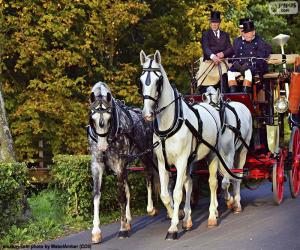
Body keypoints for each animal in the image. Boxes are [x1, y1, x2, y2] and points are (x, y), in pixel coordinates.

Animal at [88, 82, 158, 244]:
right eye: (92, 119)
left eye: (109, 119)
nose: (102, 147)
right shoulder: (97, 166)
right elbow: (97, 195)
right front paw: (96, 232)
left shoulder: (118, 166)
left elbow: (120, 196)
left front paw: (122, 229)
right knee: (129, 190)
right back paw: (128, 220)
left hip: (146, 155)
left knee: (150, 176)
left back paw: (151, 208)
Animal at [139, 49, 221, 239]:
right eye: (141, 80)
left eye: (158, 81)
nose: (147, 114)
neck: (170, 124)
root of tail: (210, 106)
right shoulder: (163, 163)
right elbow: (165, 195)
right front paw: (177, 216)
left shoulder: (182, 160)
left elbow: (176, 193)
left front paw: (173, 228)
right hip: (192, 160)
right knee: (188, 182)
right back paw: (189, 220)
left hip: (212, 154)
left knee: (213, 182)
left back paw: (212, 215)